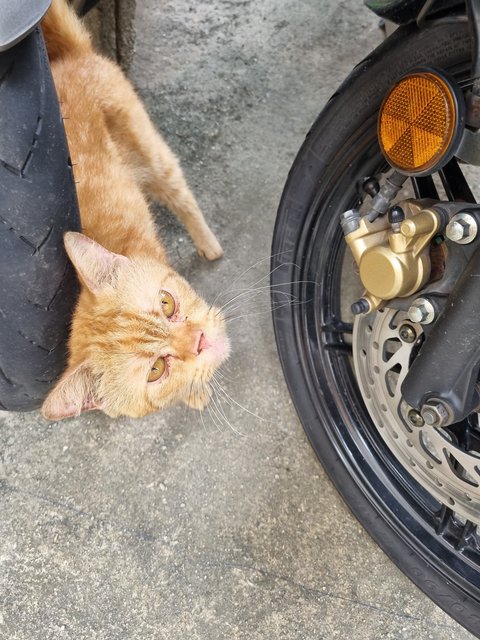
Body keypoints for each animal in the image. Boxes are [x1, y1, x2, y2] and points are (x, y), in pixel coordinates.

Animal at [39, 0, 229, 420]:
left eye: (166, 302)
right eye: (156, 370)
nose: (200, 340)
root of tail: (68, 58)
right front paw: (194, 392)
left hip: (155, 158)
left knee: (183, 197)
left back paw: (209, 245)